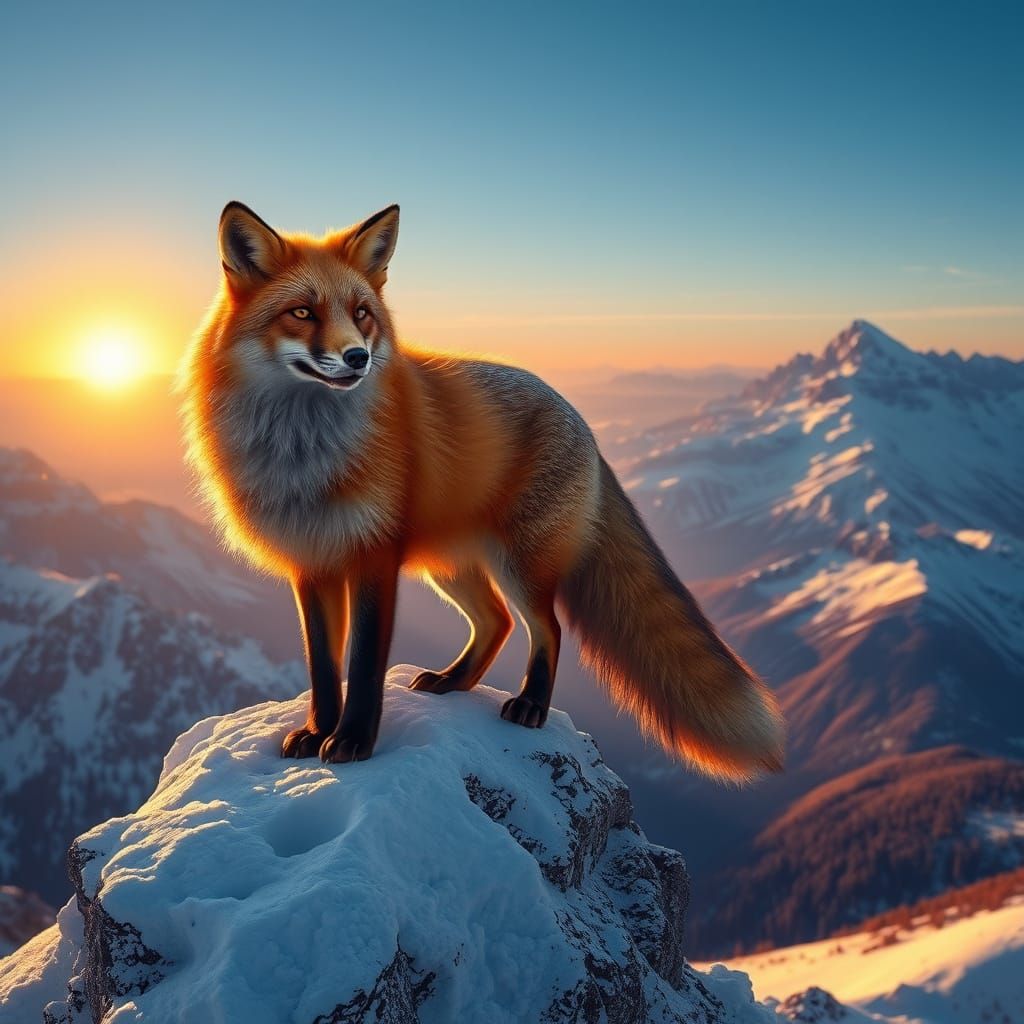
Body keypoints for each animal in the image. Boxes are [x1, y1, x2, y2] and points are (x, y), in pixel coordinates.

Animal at [180, 202, 785, 779]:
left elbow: (365, 664)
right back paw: (452, 682)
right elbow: (324, 668)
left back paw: (530, 706)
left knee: (546, 627)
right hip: (452, 566)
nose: (358, 358)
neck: (303, 454)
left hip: (519, 563)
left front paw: (353, 742)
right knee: (497, 622)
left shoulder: (374, 557)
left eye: (361, 315)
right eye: (302, 312)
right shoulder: (313, 564)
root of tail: (581, 421)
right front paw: (316, 733)